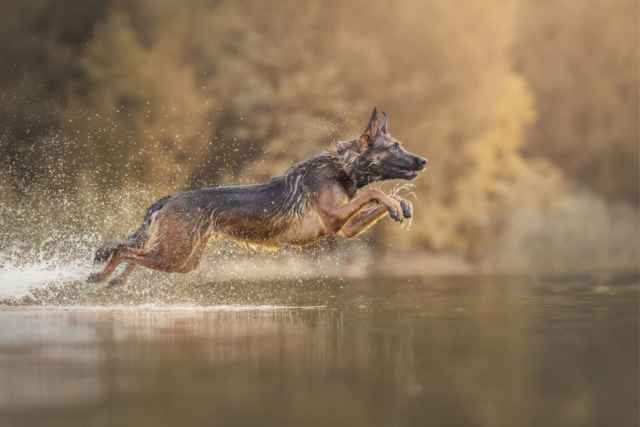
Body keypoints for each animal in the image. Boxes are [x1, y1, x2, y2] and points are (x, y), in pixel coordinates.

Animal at [86, 108, 424, 288]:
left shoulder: (345, 228)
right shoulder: (333, 218)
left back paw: (117, 280)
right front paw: (395, 201)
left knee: (137, 252)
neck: (343, 166)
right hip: (176, 255)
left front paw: (402, 204)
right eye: (395, 147)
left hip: (181, 259)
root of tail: (168, 199)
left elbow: (378, 198)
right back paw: (101, 275)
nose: (424, 161)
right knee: (123, 250)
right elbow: (374, 191)